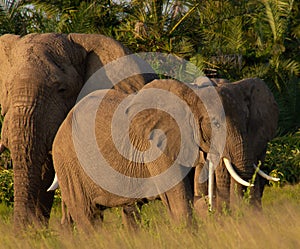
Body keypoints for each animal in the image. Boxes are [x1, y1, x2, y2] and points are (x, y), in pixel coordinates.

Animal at [49, 77, 278, 230]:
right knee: (88, 216)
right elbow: (178, 198)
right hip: (68, 164)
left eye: (247, 122)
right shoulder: (157, 145)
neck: (190, 94)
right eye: (215, 123)